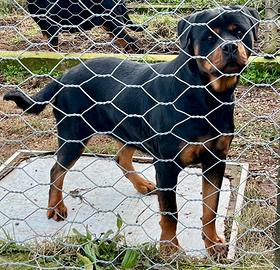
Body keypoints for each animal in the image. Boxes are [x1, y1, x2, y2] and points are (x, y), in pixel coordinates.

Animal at [4, 5, 260, 255]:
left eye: (239, 32)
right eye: (208, 36)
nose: (230, 46)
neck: (205, 96)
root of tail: (63, 76)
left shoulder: (216, 159)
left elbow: (210, 207)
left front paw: (213, 242)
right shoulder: (166, 165)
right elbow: (170, 213)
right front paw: (169, 247)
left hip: (128, 129)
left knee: (120, 157)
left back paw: (142, 184)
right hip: (73, 135)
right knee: (56, 170)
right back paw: (56, 207)